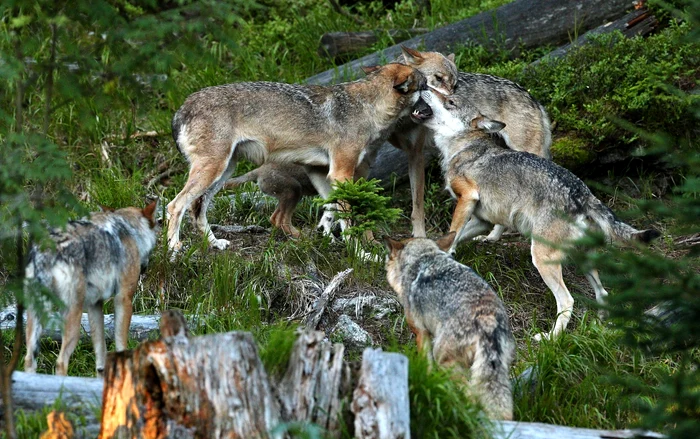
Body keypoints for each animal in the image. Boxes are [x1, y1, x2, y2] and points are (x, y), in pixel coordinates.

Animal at [24, 201, 159, 376]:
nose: (144, 268)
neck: (128, 228)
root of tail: (47, 250)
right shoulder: (123, 298)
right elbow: (121, 343)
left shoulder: (95, 304)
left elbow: (100, 353)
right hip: (73, 318)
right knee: (61, 362)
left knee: (29, 359)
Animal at [167, 63, 426, 253]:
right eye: (426, 87)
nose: (432, 109)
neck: (367, 108)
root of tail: (181, 108)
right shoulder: (341, 173)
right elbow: (348, 218)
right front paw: (361, 253)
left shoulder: (321, 172)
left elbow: (331, 209)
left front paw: (325, 236)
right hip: (213, 171)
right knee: (174, 205)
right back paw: (173, 249)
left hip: (223, 172)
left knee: (197, 209)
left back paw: (214, 244)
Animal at [384, 232, 515, 420]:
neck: (423, 258)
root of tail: (488, 320)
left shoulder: (421, 333)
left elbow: (426, 365)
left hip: (445, 360)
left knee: (470, 395)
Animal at [392, 47, 552, 239]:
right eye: (438, 78)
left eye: (454, 85)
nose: (454, 99)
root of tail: (532, 98)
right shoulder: (409, 154)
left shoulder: (417, 154)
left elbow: (418, 207)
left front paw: (419, 237)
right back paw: (492, 237)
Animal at [413, 89, 660, 340]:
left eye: (450, 101)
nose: (424, 86)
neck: (463, 147)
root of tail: (583, 194)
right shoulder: (483, 221)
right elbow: (452, 236)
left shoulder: (468, 198)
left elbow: (453, 232)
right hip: (582, 261)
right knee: (603, 293)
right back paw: (602, 326)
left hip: (541, 258)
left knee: (567, 301)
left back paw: (550, 338)